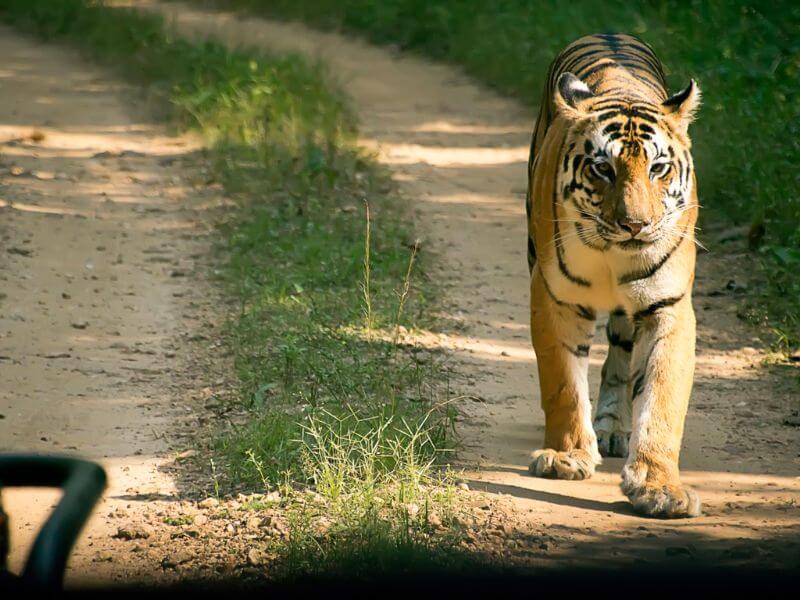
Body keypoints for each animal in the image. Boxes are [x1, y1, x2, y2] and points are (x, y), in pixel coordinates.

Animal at [525, 33, 702, 518]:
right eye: (602, 168)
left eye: (658, 168)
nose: (635, 225)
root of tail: (610, 32)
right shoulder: (554, 297)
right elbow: (562, 383)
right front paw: (565, 457)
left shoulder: (669, 307)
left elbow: (662, 398)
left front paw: (660, 487)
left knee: (620, 360)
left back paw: (613, 426)